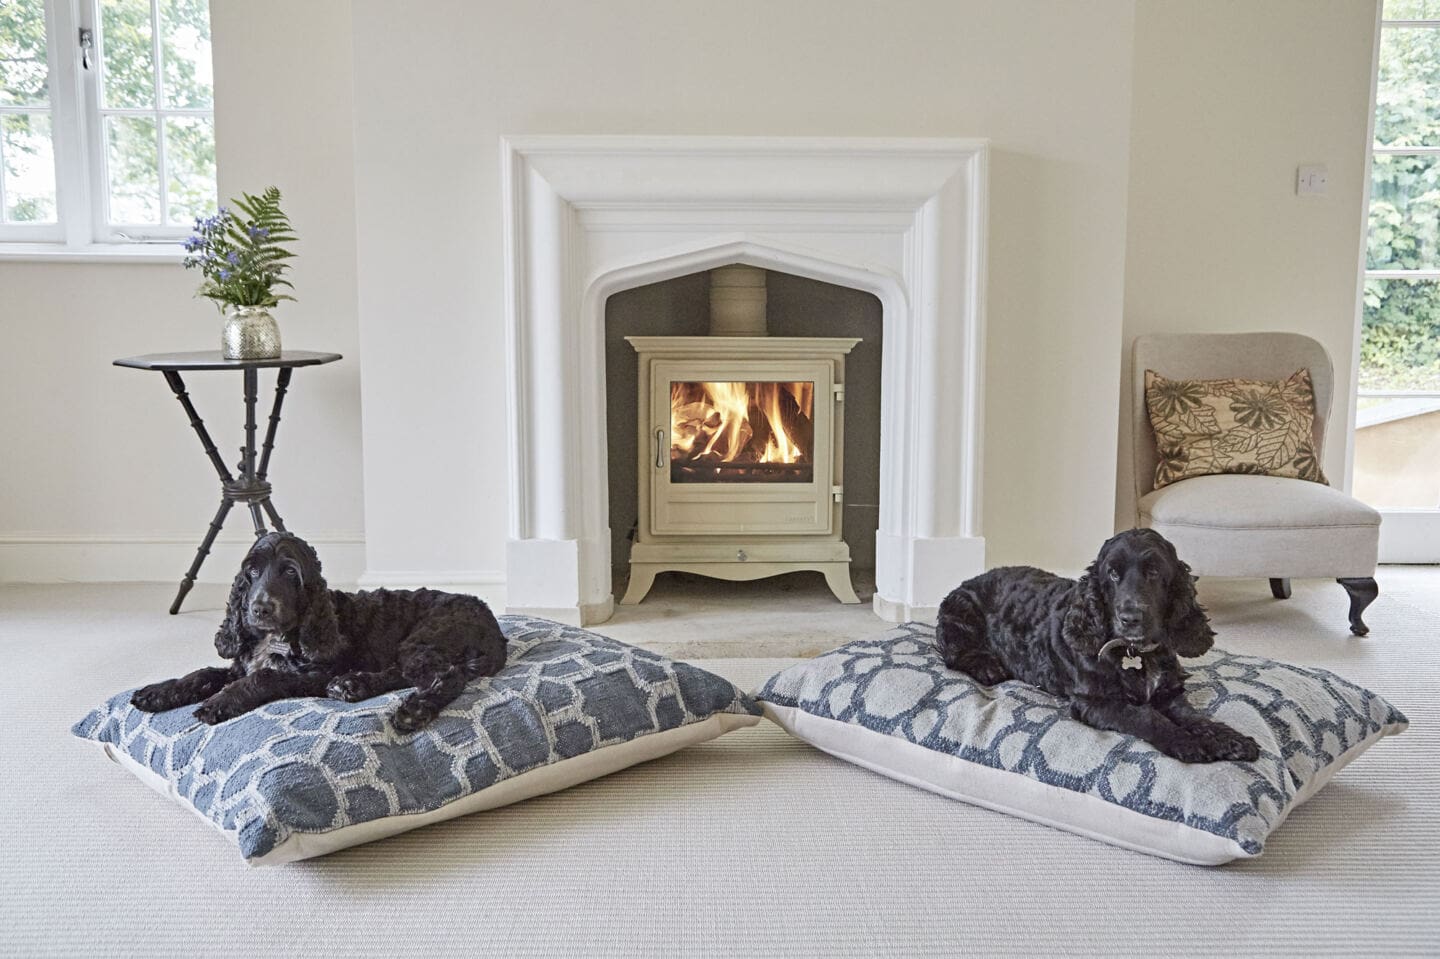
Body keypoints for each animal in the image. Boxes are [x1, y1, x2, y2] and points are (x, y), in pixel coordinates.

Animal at [129, 529, 509, 731]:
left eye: (290, 573)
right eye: (251, 572)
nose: (259, 609)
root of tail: (492, 625)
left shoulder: (314, 672)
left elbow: (263, 677)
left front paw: (219, 702)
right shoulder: (241, 664)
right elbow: (202, 672)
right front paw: (157, 692)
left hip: (424, 638)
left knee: (445, 675)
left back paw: (412, 710)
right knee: (404, 673)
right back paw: (352, 685)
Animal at [938, 524, 1255, 760]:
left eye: (1154, 572)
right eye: (1112, 574)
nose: (1130, 617)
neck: (1134, 652)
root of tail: (971, 579)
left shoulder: (1168, 693)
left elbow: (1193, 717)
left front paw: (1230, 738)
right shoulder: (1095, 701)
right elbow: (1146, 716)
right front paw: (1184, 742)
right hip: (960, 613)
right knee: (954, 653)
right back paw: (988, 666)